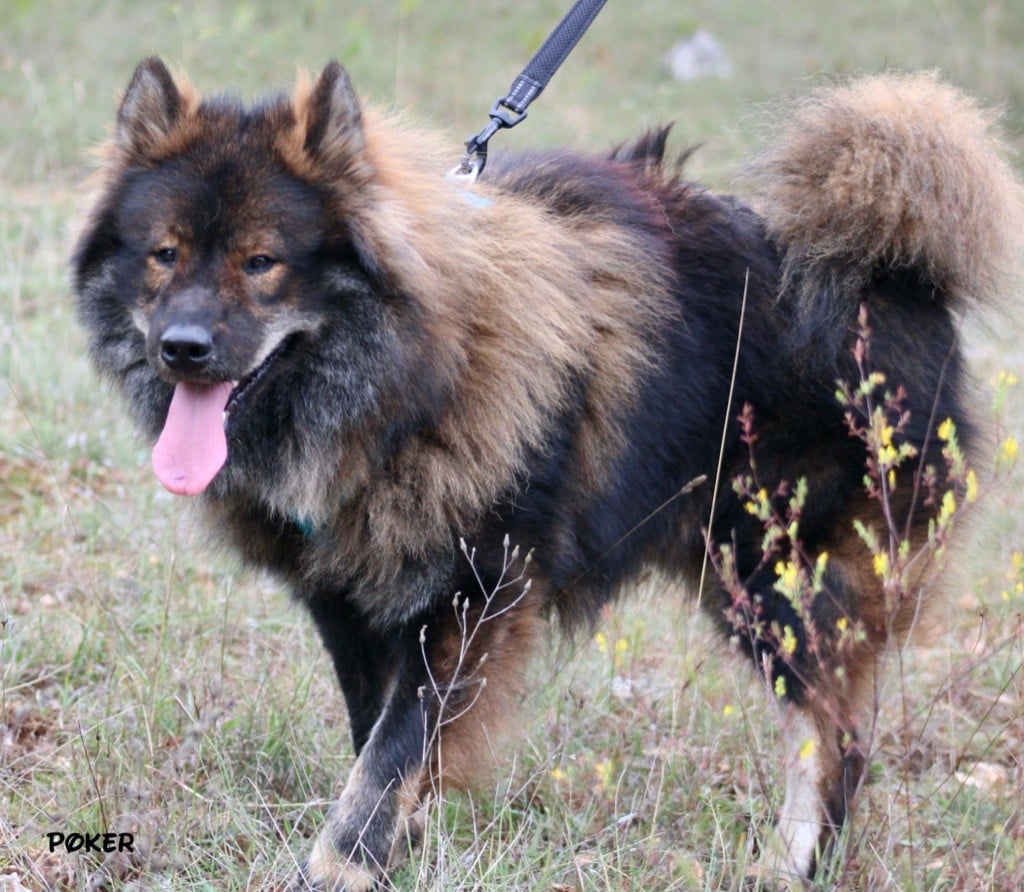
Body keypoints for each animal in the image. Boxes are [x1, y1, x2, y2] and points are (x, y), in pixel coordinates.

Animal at [74, 59, 1024, 888]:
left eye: (261, 262)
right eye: (165, 254)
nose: (183, 348)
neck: (407, 384)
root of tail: (896, 279)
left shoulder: (468, 602)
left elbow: (385, 764)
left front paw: (340, 869)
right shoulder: (349, 608)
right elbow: (380, 748)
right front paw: (403, 853)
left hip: (781, 588)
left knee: (837, 738)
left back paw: (796, 865)